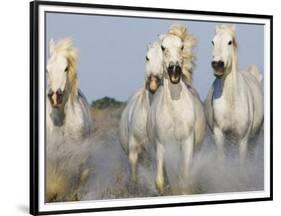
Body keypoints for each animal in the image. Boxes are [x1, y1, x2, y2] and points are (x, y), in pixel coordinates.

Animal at [147, 25, 206, 194]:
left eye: (182, 47)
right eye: (163, 47)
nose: (175, 70)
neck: (175, 114)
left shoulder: (187, 143)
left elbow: (185, 181)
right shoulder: (162, 145)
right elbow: (161, 182)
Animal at [203, 24, 262, 162]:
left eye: (229, 42)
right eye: (213, 42)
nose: (217, 65)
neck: (231, 101)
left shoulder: (243, 139)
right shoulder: (219, 135)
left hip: (254, 139)